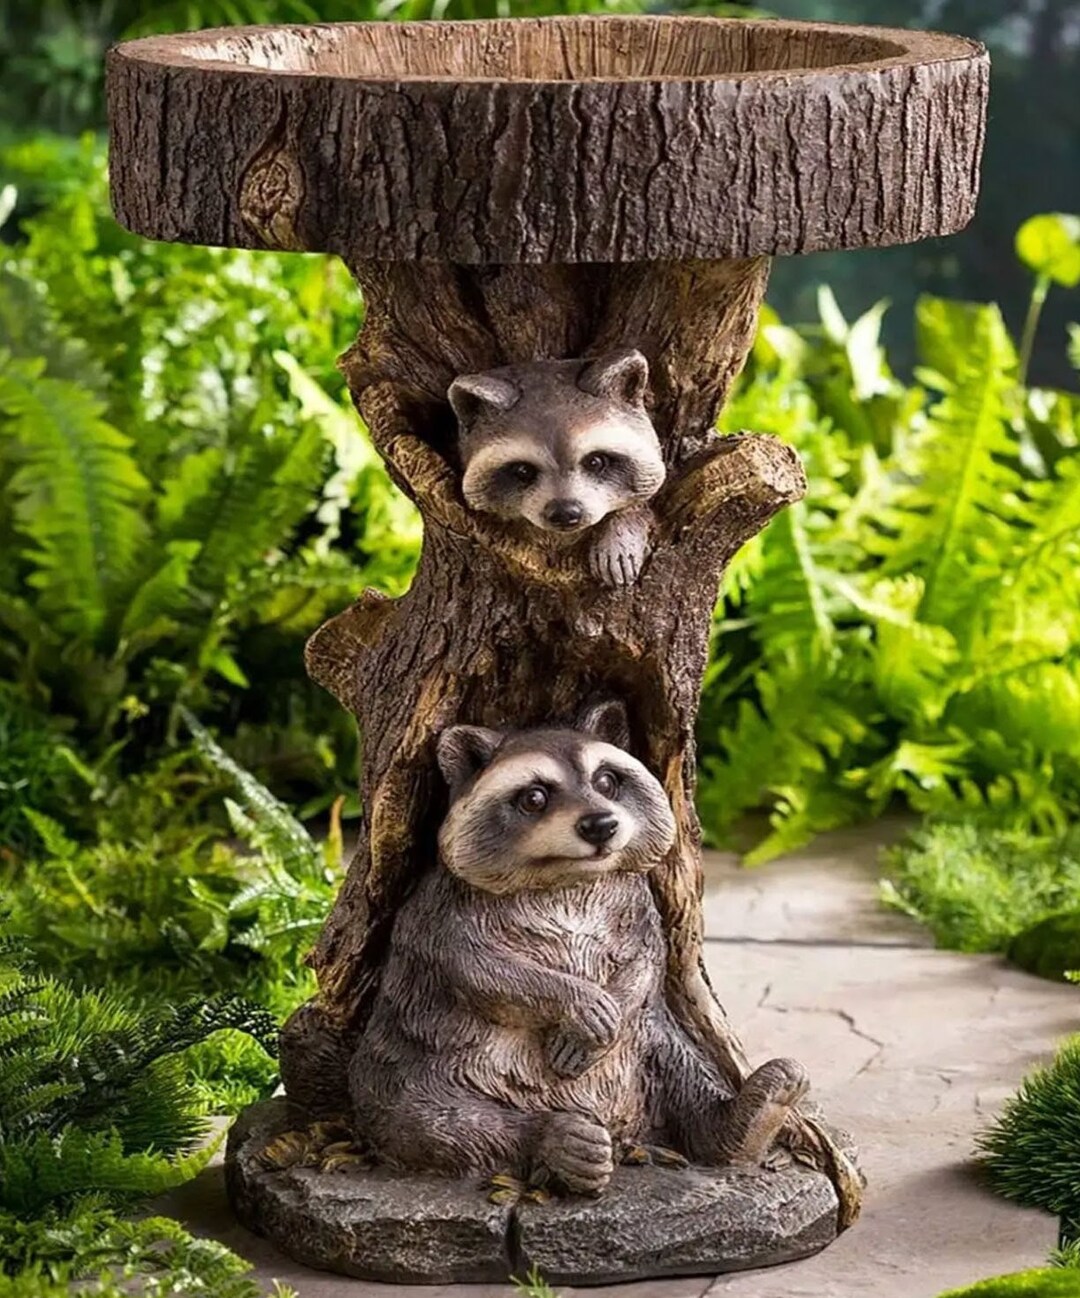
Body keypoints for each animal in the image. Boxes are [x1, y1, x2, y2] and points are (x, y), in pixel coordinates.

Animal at [348, 701, 808, 1195]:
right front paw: (577, 1002)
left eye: (606, 781)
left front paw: (612, 1004)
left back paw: (746, 1117)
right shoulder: (438, 909)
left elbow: (647, 958)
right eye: (534, 798)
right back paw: (558, 1142)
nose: (601, 824)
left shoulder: (637, 901)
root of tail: (618, 1127)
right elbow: (479, 969)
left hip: (649, 1047)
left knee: (684, 1072)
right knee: (425, 1119)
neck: (566, 880)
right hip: (404, 1065)